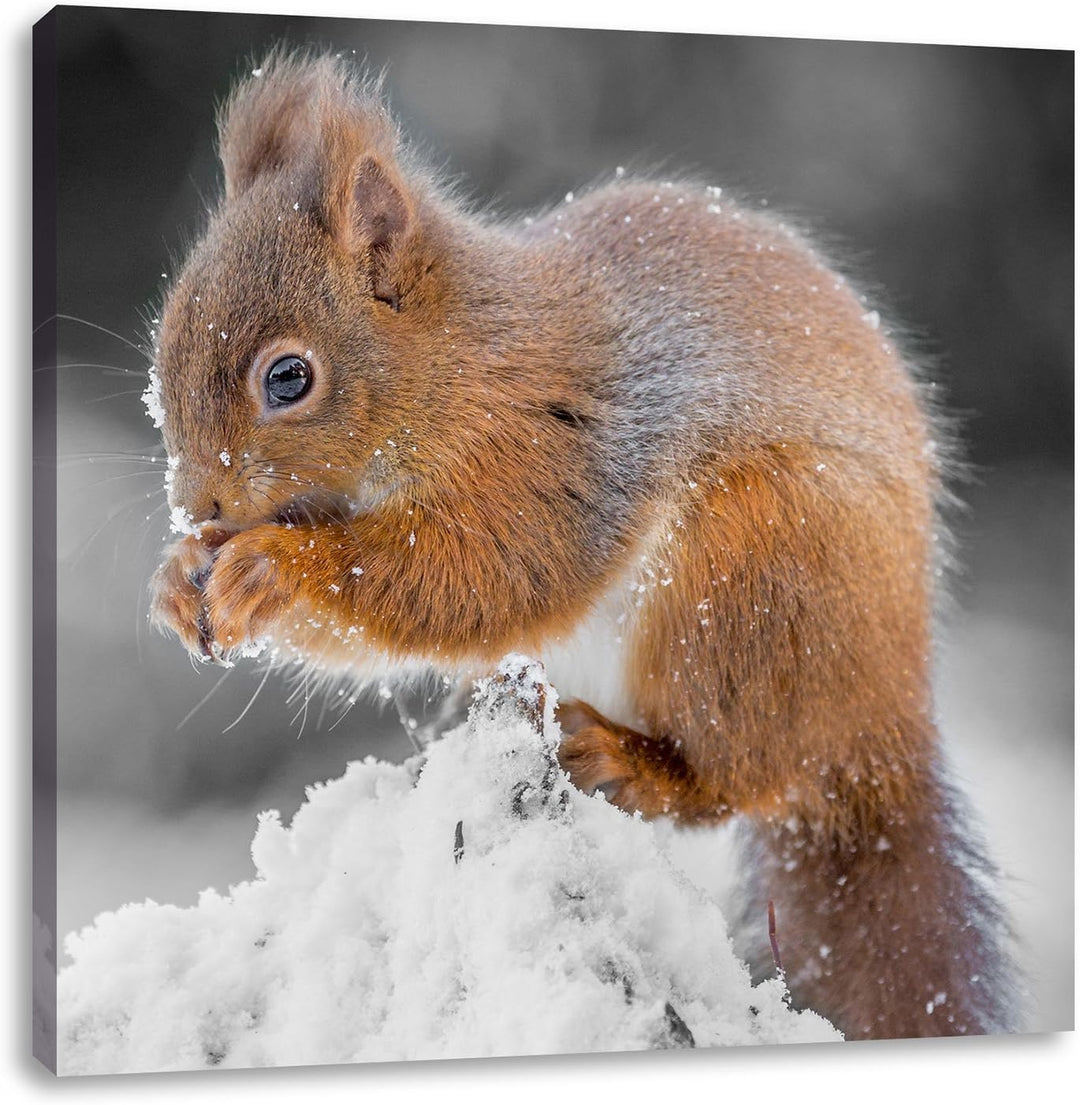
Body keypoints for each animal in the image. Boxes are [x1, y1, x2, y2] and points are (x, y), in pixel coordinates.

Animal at [148, 51, 1015, 1040]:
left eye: (288, 378)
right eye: (163, 342)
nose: (197, 505)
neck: (456, 362)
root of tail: (884, 722)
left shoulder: (551, 454)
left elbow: (482, 576)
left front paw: (273, 568)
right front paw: (180, 579)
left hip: (751, 584)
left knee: (734, 776)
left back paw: (630, 760)